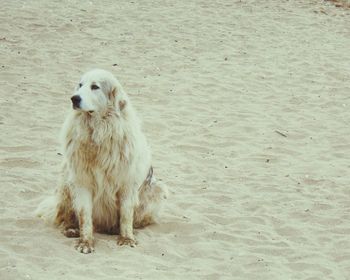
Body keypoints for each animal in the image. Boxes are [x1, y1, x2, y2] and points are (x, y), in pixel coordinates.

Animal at [36, 68, 167, 254]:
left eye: (95, 87)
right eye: (80, 85)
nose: (74, 98)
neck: (98, 132)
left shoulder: (127, 183)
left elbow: (126, 215)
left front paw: (126, 238)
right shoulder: (82, 181)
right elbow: (84, 215)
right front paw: (86, 242)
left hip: (156, 189)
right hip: (66, 182)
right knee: (66, 216)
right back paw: (71, 229)